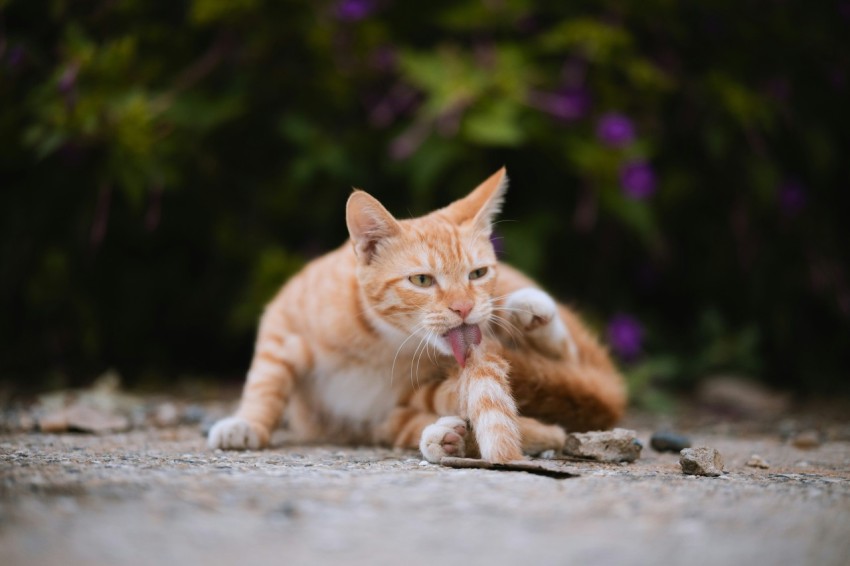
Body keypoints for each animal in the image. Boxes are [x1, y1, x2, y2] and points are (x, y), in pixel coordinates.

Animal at [209, 168, 628, 462]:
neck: (379, 340)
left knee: (573, 367)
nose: (464, 307)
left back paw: (532, 312)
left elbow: (463, 395)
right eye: (422, 280)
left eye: (478, 274)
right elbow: (265, 382)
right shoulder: (282, 321)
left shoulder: (416, 389)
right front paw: (247, 423)